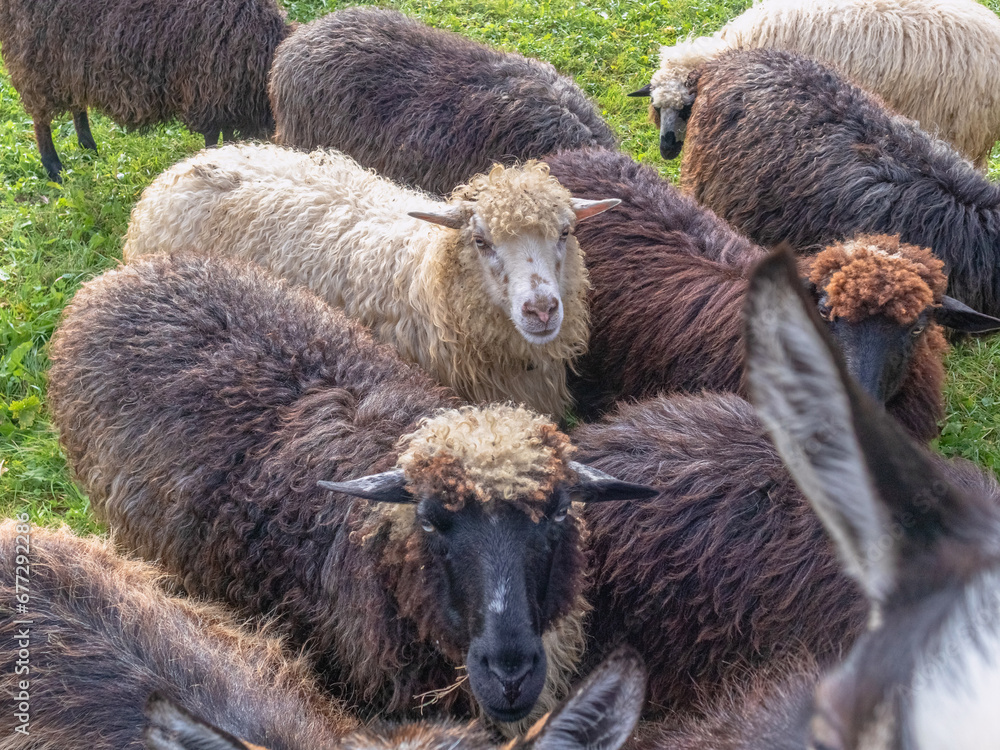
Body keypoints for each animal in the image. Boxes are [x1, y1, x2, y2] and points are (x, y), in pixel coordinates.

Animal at [0, 0, 290, 182]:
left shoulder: (225, 102)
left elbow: (226, 138)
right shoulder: (210, 94)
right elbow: (213, 139)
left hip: (70, 60)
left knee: (76, 101)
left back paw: (87, 145)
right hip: (35, 58)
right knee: (40, 117)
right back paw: (53, 166)